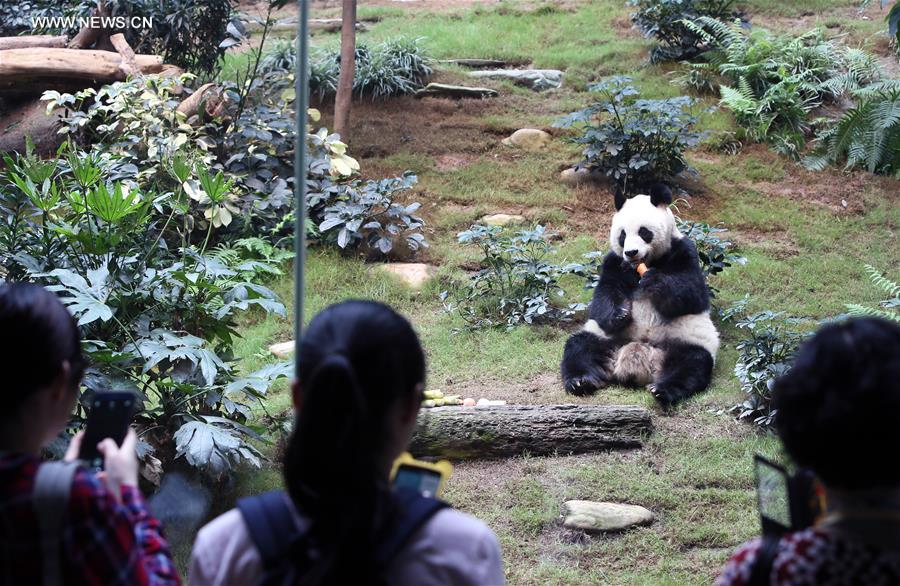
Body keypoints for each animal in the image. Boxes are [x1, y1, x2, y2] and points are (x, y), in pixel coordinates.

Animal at [560, 185, 720, 404]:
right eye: (622, 235)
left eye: (644, 232)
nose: (631, 252)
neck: (643, 265)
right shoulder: (614, 262)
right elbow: (604, 295)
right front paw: (620, 315)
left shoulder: (684, 252)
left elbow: (692, 294)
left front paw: (654, 282)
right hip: (605, 338)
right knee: (579, 347)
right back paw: (581, 381)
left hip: (684, 339)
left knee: (692, 363)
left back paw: (662, 389)